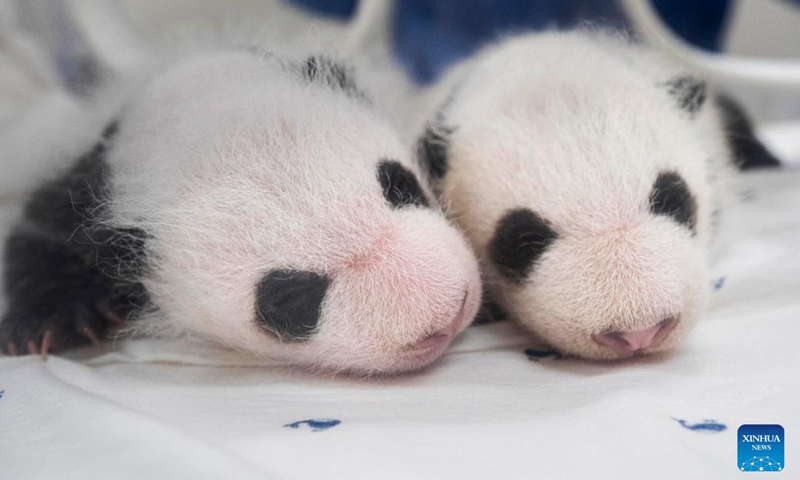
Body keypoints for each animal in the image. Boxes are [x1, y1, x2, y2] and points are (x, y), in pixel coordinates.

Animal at [1, 46, 482, 376]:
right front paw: (46, 324)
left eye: (400, 184)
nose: (447, 315)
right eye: (292, 296)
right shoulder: (87, 184)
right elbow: (38, 232)